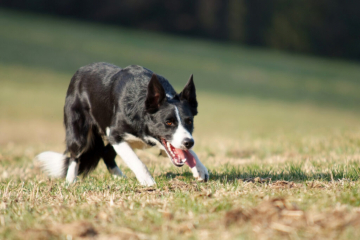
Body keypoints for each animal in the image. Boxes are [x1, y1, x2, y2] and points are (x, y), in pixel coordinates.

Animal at [36, 62, 208, 186]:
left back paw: (120, 178)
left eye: (189, 121)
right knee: (75, 154)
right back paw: (70, 181)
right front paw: (148, 181)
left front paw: (200, 169)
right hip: (78, 129)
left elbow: (189, 153)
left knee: (106, 153)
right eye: (169, 122)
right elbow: (136, 161)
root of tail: (80, 71)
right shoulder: (115, 134)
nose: (189, 142)